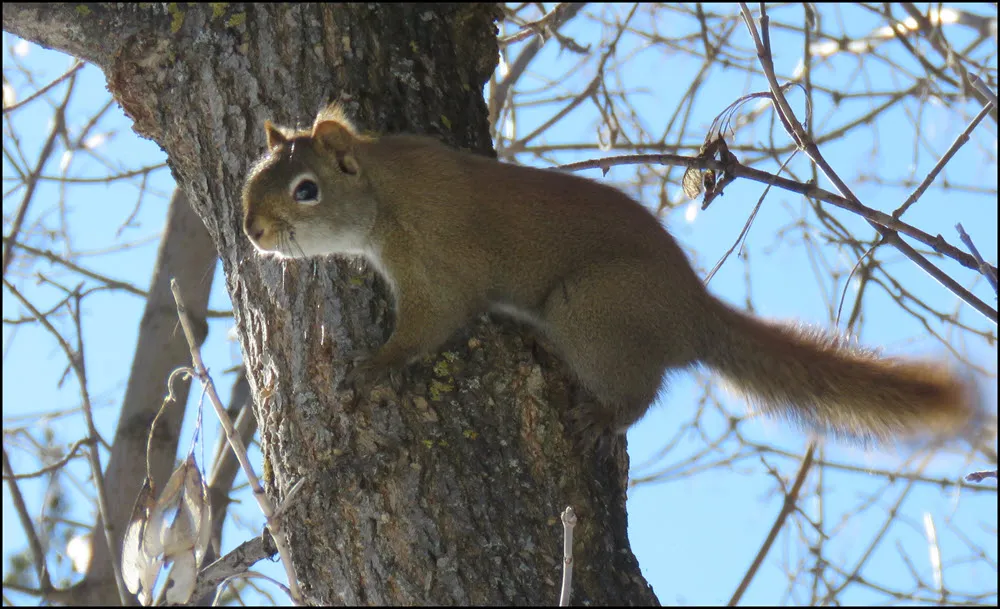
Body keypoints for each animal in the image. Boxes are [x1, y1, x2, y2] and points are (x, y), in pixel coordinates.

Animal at [244, 104, 984, 446]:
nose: (252, 231)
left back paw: (604, 413)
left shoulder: (437, 267)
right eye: (255, 175)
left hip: (591, 310)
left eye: (306, 191)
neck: (387, 189)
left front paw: (374, 365)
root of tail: (693, 313)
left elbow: (430, 326)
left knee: (642, 392)